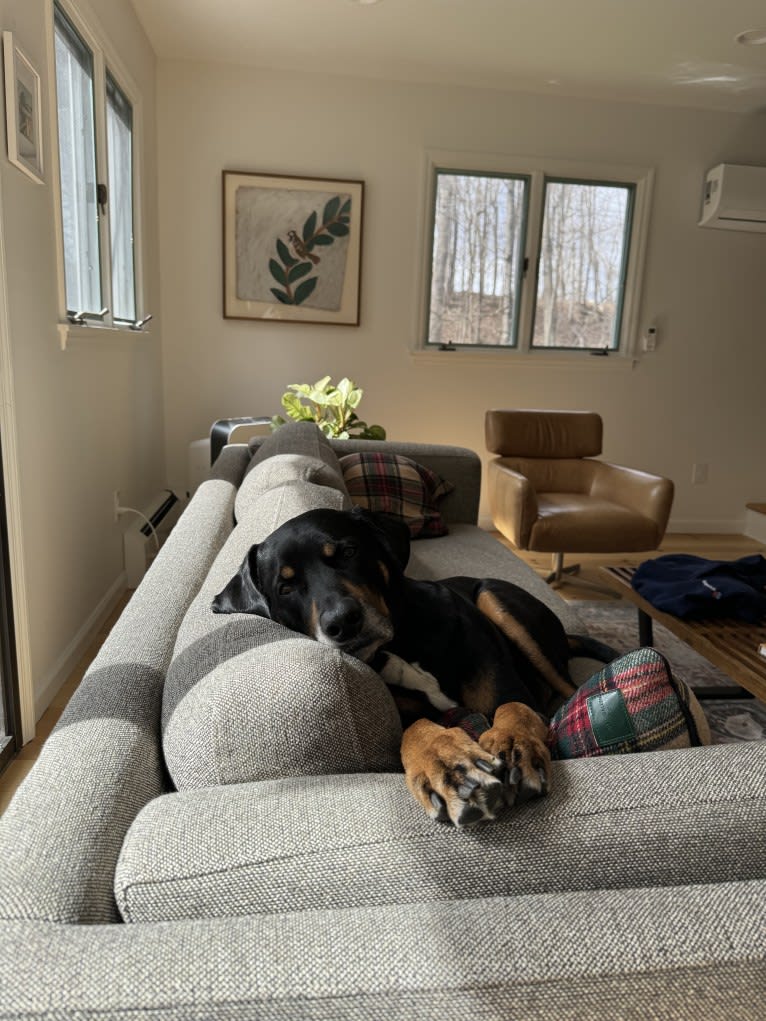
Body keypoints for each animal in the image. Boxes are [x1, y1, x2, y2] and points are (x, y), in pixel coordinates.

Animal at [213, 506, 608, 824]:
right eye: (285, 587)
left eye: (349, 551)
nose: (342, 623)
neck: (398, 640)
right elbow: (415, 728)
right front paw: (446, 763)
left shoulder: (507, 687)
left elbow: (514, 707)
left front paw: (514, 744)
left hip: (494, 597)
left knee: (568, 689)